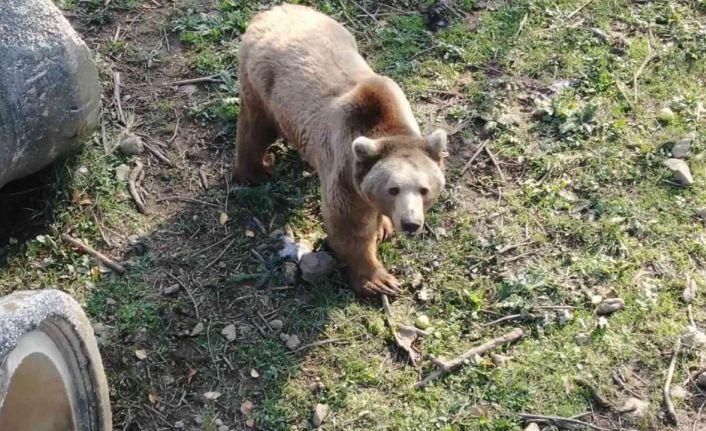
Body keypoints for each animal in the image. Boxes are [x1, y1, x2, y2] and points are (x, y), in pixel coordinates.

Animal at [235, 4, 446, 296]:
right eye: (393, 188)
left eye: (424, 189)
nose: (410, 224)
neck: (387, 124)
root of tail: (274, 10)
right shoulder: (344, 168)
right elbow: (348, 225)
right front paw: (379, 280)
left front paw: (383, 227)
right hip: (263, 85)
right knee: (255, 129)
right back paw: (256, 171)